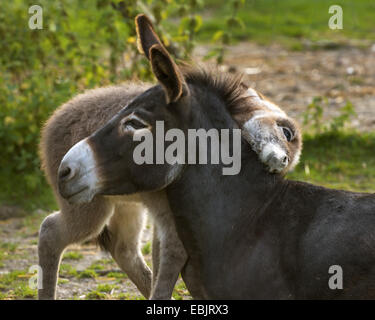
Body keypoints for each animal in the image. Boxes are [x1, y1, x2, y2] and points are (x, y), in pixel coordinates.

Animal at [39, 14, 302, 300]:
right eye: (285, 131)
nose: (280, 161)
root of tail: (52, 123)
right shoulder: (172, 217)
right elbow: (171, 259)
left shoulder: (166, 214)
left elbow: (162, 257)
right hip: (90, 207)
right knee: (51, 232)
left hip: (126, 205)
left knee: (124, 248)